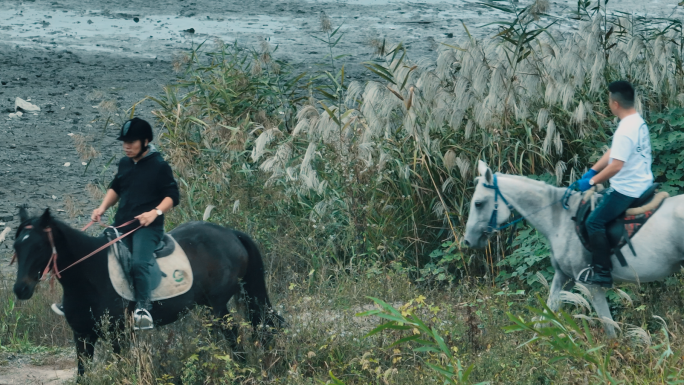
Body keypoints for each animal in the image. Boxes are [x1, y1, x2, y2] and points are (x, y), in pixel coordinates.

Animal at [10, 207, 284, 376]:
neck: (90, 274)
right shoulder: (82, 336)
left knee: (234, 333)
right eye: (16, 246)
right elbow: (82, 373)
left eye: (39, 246)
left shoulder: (119, 334)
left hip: (215, 305)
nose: (21, 289)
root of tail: (230, 233)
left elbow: (122, 368)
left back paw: (241, 369)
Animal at [462, 159, 680, 336]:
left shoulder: (590, 285)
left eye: (478, 203)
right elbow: (545, 318)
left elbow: (609, 328)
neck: (560, 219)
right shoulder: (563, 276)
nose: (467, 241)